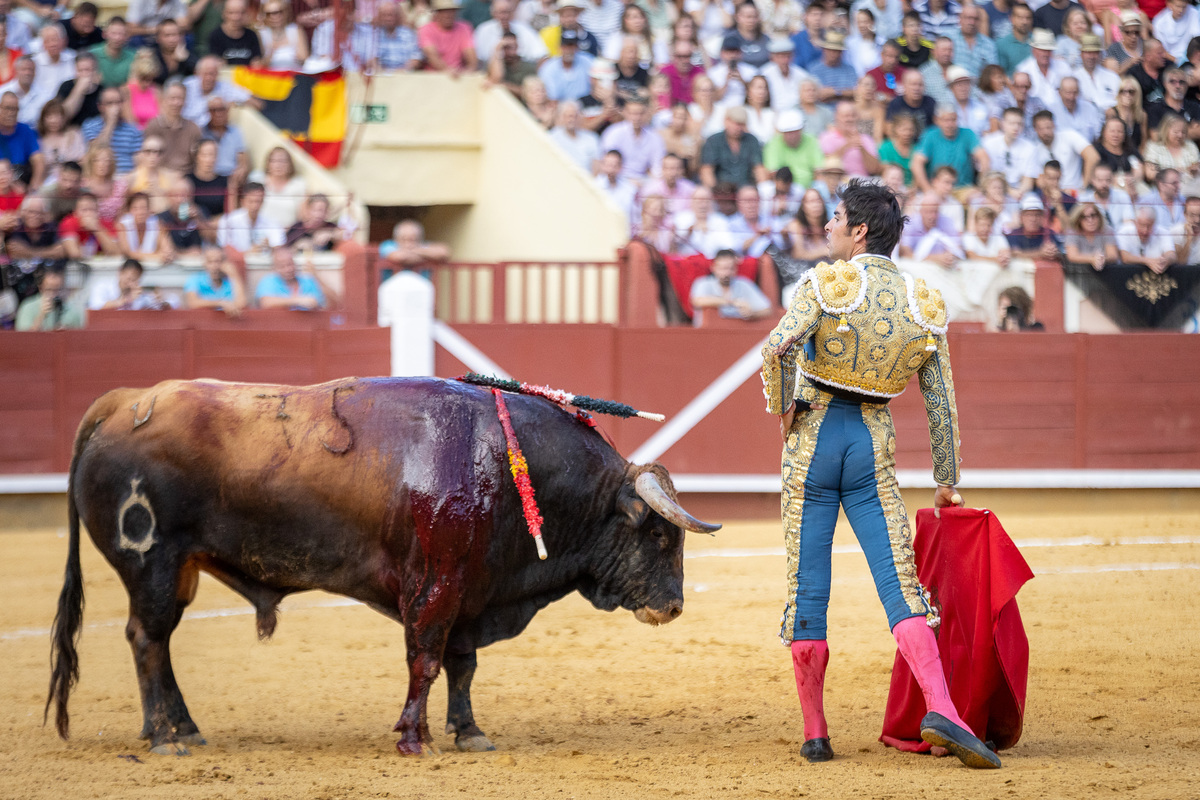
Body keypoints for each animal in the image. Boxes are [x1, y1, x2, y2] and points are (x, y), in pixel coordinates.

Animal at [44, 379, 720, 753]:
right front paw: (414, 738)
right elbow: (425, 660)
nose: (673, 606)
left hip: (179, 569)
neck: (508, 463)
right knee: (147, 638)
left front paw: (468, 733)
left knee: (157, 644)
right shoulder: (437, 584)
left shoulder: (470, 590)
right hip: (152, 564)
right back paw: (164, 738)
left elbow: (461, 665)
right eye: (659, 533)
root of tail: (121, 403)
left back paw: (181, 729)